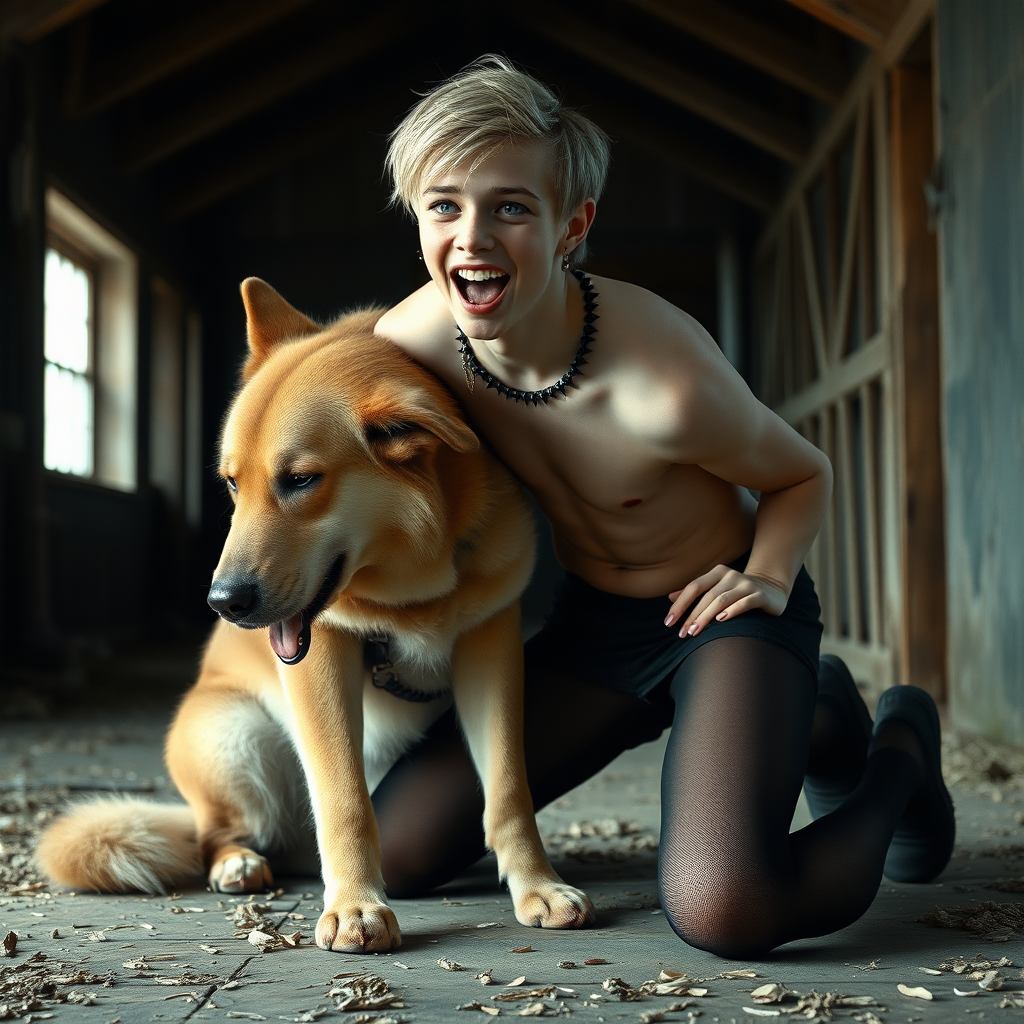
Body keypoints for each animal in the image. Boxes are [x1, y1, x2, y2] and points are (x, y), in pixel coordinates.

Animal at [39, 278, 598, 950]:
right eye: (233, 484)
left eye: (301, 480)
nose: (222, 602)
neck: (418, 581)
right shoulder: (322, 656)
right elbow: (344, 799)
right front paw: (357, 906)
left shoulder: (490, 644)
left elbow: (511, 790)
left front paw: (538, 885)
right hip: (231, 736)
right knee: (215, 834)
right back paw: (239, 862)